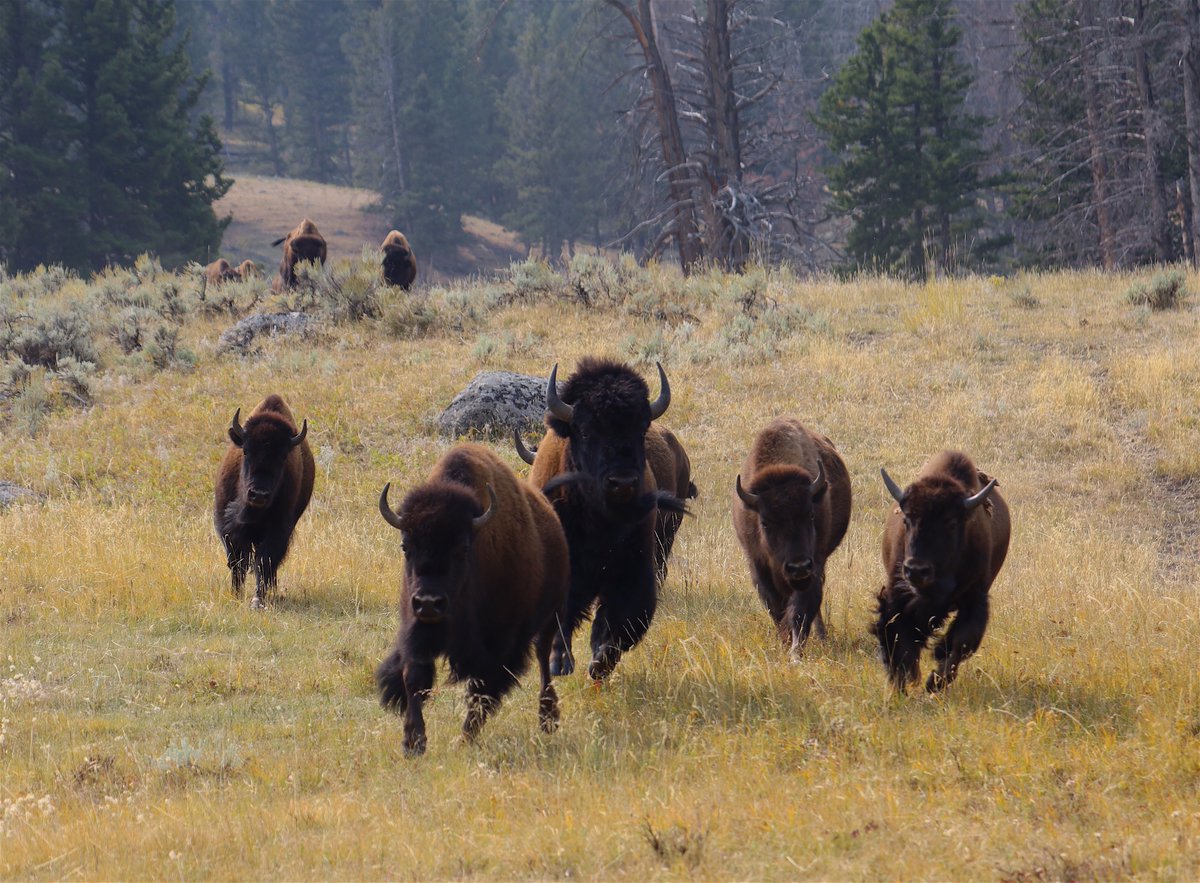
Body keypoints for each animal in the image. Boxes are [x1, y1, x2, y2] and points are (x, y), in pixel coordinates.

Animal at [214, 394, 314, 610]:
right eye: (245, 451)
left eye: (283, 456)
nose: (258, 494)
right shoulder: (227, 528)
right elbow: (237, 562)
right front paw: (236, 595)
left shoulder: (279, 529)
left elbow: (265, 560)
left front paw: (257, 600)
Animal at [375, 444, 569, 755]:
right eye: (406, 546)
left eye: (463, 547)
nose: (428, 602)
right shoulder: (415, 631)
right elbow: (414, 678)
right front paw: (413, 742)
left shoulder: (499, 647)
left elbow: (482, 691)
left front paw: (464, 739)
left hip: (550, 618)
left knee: (543, 659)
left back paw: (548, 718)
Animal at [524, 358, 689, 681]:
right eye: (586, 430)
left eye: (641, 428)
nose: (622, 482)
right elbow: (563, 615)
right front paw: (561, 663)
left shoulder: (634, 566)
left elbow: (627, 619)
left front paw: (600, 663)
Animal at [732, 418, 852, 658]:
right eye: (765, 522)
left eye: (811, 514)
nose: (798, 567)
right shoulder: (758, 567)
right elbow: (777, 610)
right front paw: (787, 645)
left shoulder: (814, 567)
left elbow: (800, 611)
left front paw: (796, 653)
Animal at [874, 450, 1011, 692]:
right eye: (907, 519)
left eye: (951, 523)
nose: (916, 570)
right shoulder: (896, 596)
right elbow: (897, 636)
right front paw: (905, 682)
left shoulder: (975, 598)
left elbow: (961, 641)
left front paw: (933, 683)